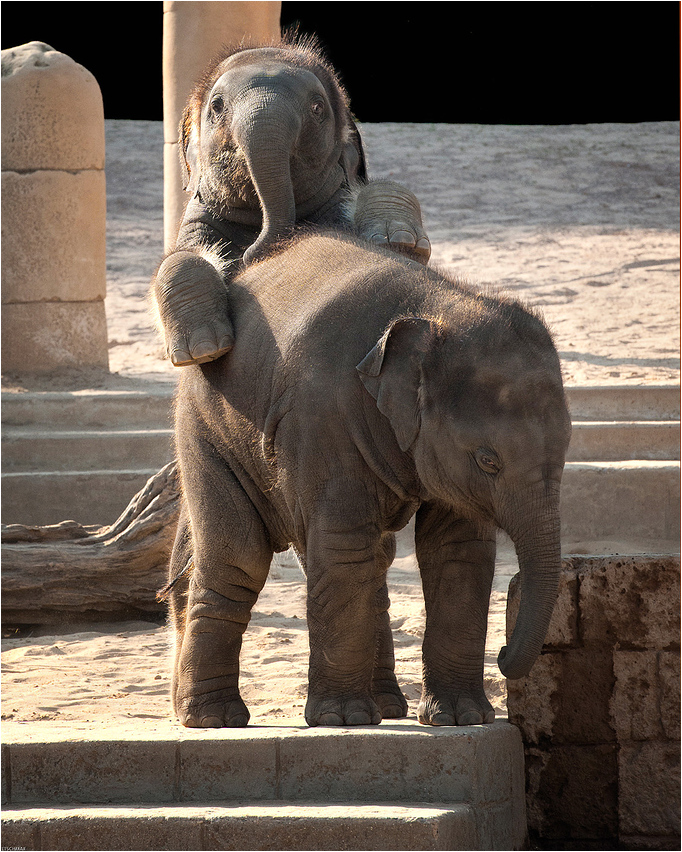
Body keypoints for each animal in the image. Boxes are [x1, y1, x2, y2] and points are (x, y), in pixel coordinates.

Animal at [153, 35, 430, 366]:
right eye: (217, 105)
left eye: (317, 106)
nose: (246, 257)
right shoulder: (201, 218)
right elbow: (181, 257)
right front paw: (204, 349)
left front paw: (399, 241)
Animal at [163, 230, 568, 728]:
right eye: (488, 461)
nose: (505, 653)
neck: (438, 308)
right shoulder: (323, 416)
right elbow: (343, 545)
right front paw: (342, 719)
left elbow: (458, 549)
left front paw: (463, 717)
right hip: (206, 428)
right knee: (240, 556)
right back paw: (214, 719)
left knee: (372, 559)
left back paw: (388, 707)